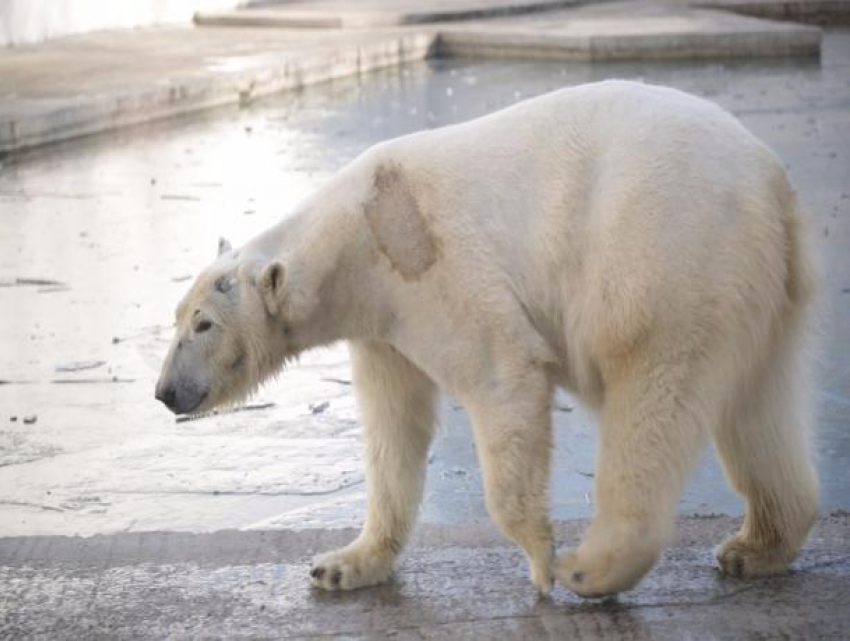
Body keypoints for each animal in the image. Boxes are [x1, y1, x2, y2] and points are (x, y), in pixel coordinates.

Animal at [156, 79, 820, 596]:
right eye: (176, 318)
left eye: (204, 324)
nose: (165, 392)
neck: (361, 223)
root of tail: (771, 182)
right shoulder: (380, 323)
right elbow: (394, 429)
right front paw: (340, 564)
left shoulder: (430, 268)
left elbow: (501, 374)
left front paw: (541, 559)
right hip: (758, 287)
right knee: (757, 408)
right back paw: (755, 547)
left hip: (664, 249)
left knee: (650, 389)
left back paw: (593, 567)